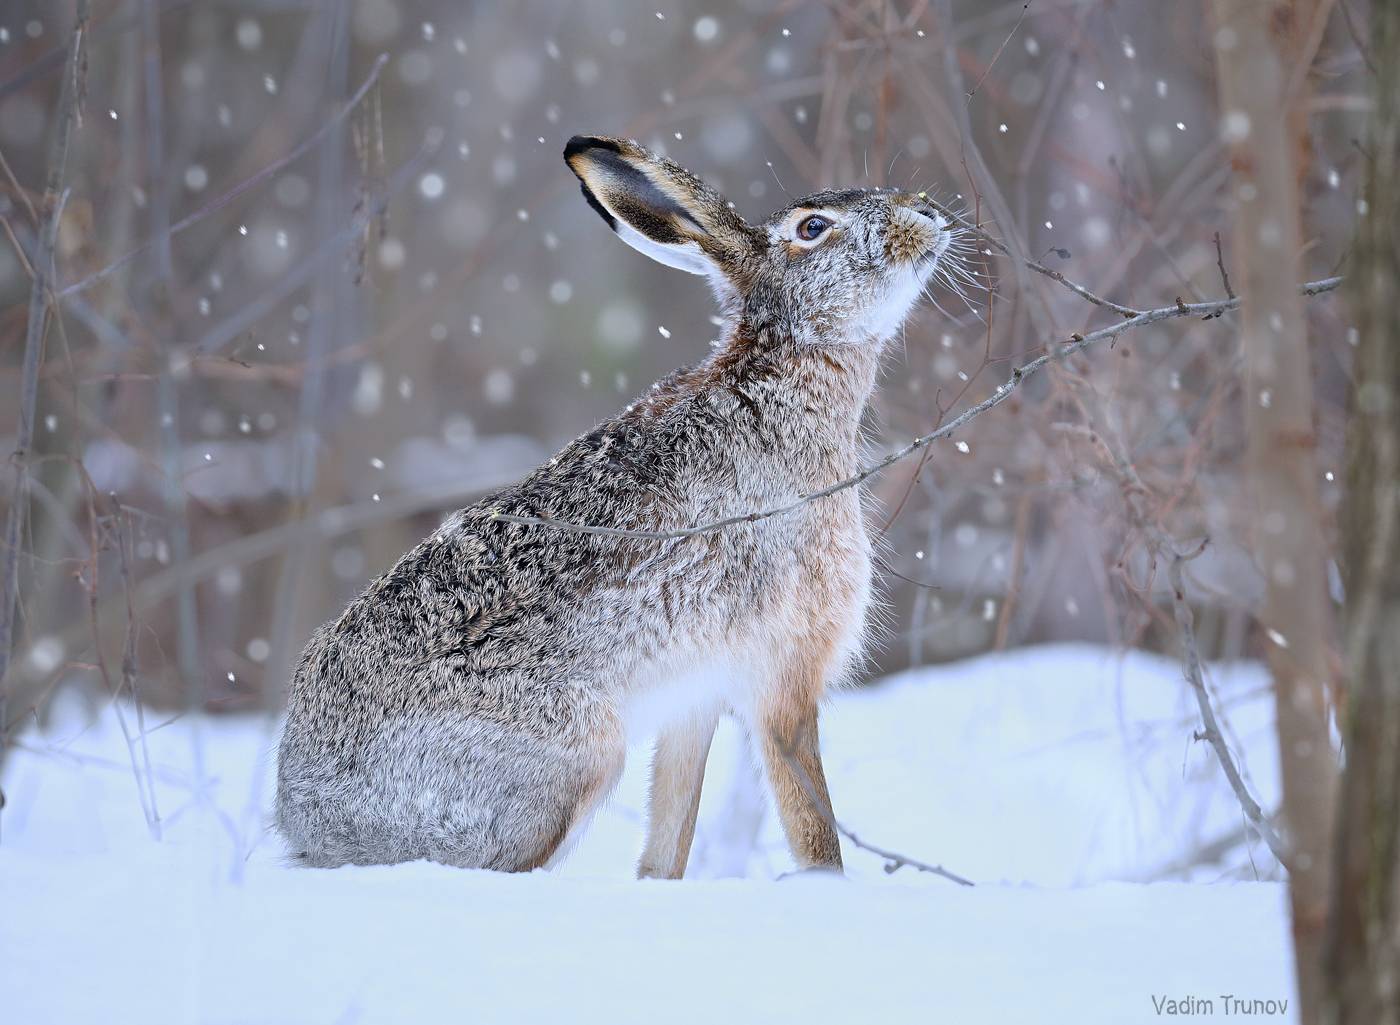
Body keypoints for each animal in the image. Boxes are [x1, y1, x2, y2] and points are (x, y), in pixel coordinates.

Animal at [274, 134, 957, 877]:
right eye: (811, 228)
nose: (927, 211)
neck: (784, 371)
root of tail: (311, 824)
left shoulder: (697, 696)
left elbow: (669, 837)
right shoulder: (784, 673)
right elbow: (813, 827)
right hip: (572, 761)